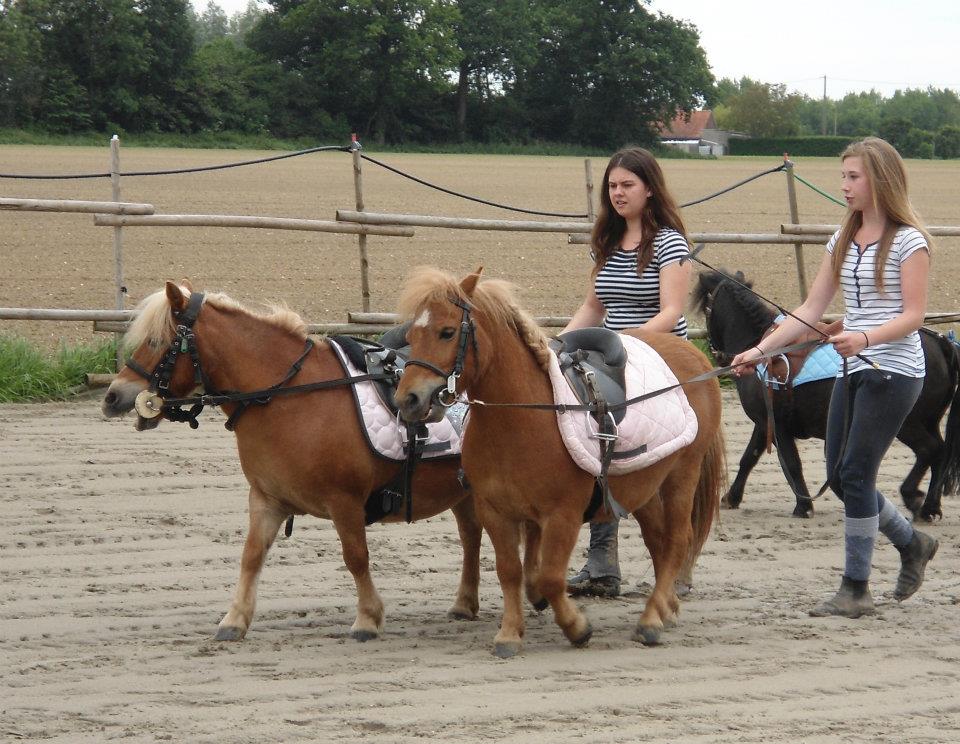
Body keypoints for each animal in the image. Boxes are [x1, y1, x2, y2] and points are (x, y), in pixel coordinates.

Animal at [101, 282, 484, 644]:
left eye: (156, 341)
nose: (112, 396)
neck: (290, 396)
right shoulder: (266, 499)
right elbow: (251, 555)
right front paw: (234, 619)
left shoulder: (345, 502)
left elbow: (356, 557)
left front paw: (367, 618)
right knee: (471, 537)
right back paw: (464, 604)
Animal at [394, 268, 724, 656]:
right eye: (412, 335)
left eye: (447, 332)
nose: (408, 400)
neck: (523, 417)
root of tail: (696, 359)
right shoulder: (495, 511)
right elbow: (510, 570)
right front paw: (509, 634)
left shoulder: (562, 515)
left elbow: (551, 577)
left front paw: (577, 627)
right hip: (643, 487)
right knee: (658, 542)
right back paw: (665, 608)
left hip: (681, 476)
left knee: (676, 540)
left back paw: (651, 621)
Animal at [688, 270, 960, 520]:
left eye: (705, 310)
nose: (717, 356)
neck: (760, 350)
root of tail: (941, 342)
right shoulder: (764, 422)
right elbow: (749, 457)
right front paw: (731, 497)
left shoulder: (778, 426)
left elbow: (791, 463)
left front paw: (803, 506)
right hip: (929, 420)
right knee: (941, 454)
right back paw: (931, 507)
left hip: (906, 423)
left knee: (931, 450)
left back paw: (913, 497)